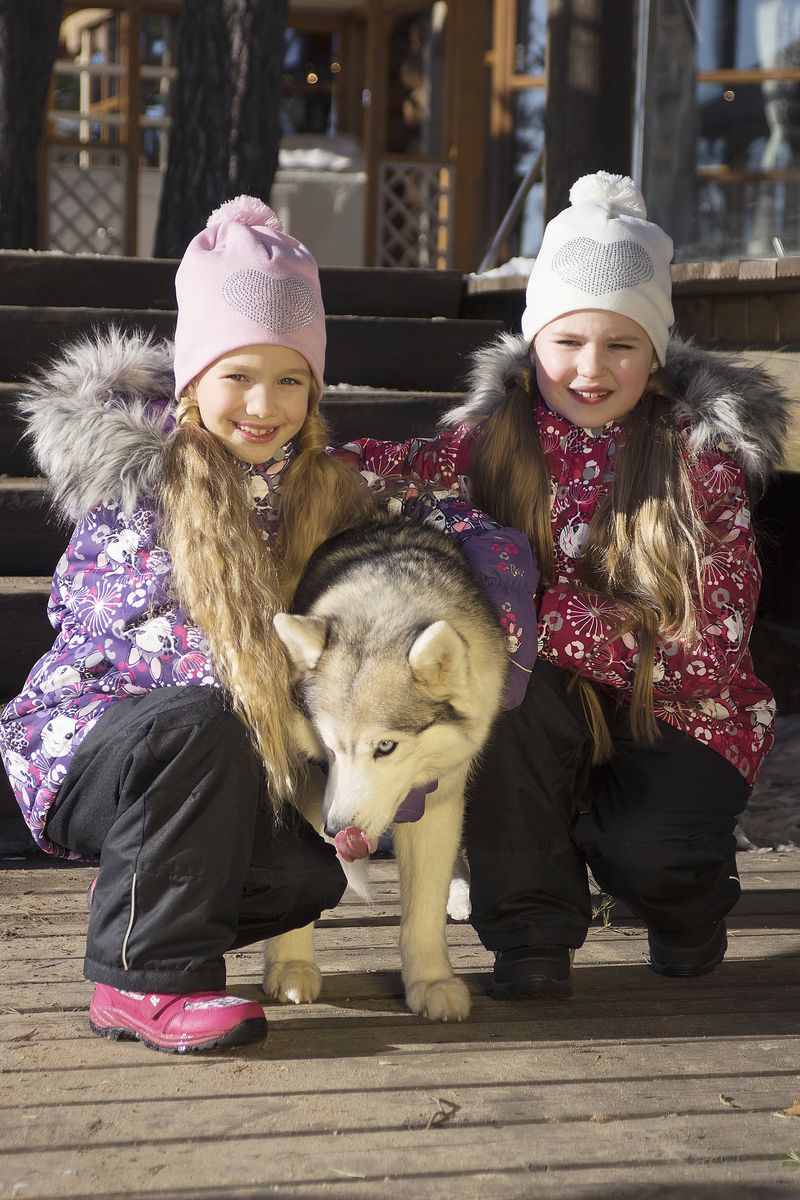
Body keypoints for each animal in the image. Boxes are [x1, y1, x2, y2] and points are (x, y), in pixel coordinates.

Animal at [268, 516, 506, 1022]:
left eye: (385, 747)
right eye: (330, 747)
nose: (337, 828)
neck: (386, 602)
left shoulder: (437, 797)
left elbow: (423, 910)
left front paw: (431, 981)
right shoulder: (307, 782)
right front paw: (291, 968)